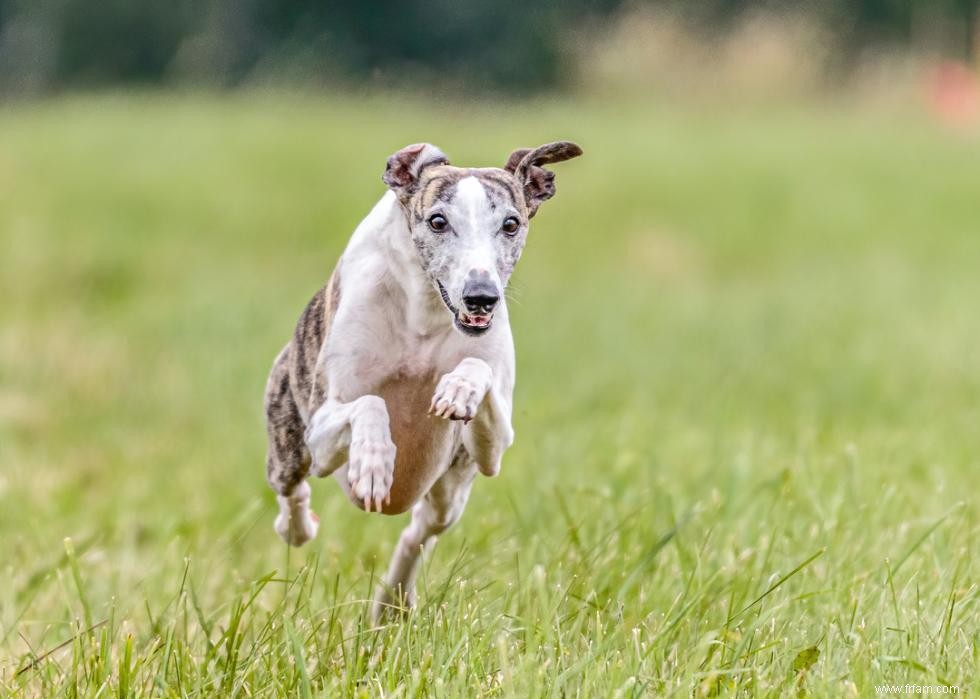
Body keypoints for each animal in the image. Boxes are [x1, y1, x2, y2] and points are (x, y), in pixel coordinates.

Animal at [262, 138, 580, 616]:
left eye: (511, 223)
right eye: (437, 221)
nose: (481, 296)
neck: (425, 315)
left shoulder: (495, 445)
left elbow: (479, 372)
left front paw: (459, 389)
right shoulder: (322, 426)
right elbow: (369, 403)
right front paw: (373, 463)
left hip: (449, 491)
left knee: (418, 533)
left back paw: (392, 601)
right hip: (290, 436)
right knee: (290, 489)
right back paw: (299, 526)